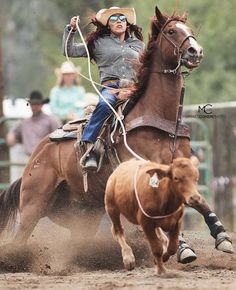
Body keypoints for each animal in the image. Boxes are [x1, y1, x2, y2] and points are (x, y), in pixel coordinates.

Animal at [0, 6, 232, 256]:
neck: (158, 116)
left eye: (188, 29)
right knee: (20, 238)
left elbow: (198, 200)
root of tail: (38, 153)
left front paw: (222, 236)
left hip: (84, 214)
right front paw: (182, 246)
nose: (195, 51)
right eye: (171, 31)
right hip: (33, 204)